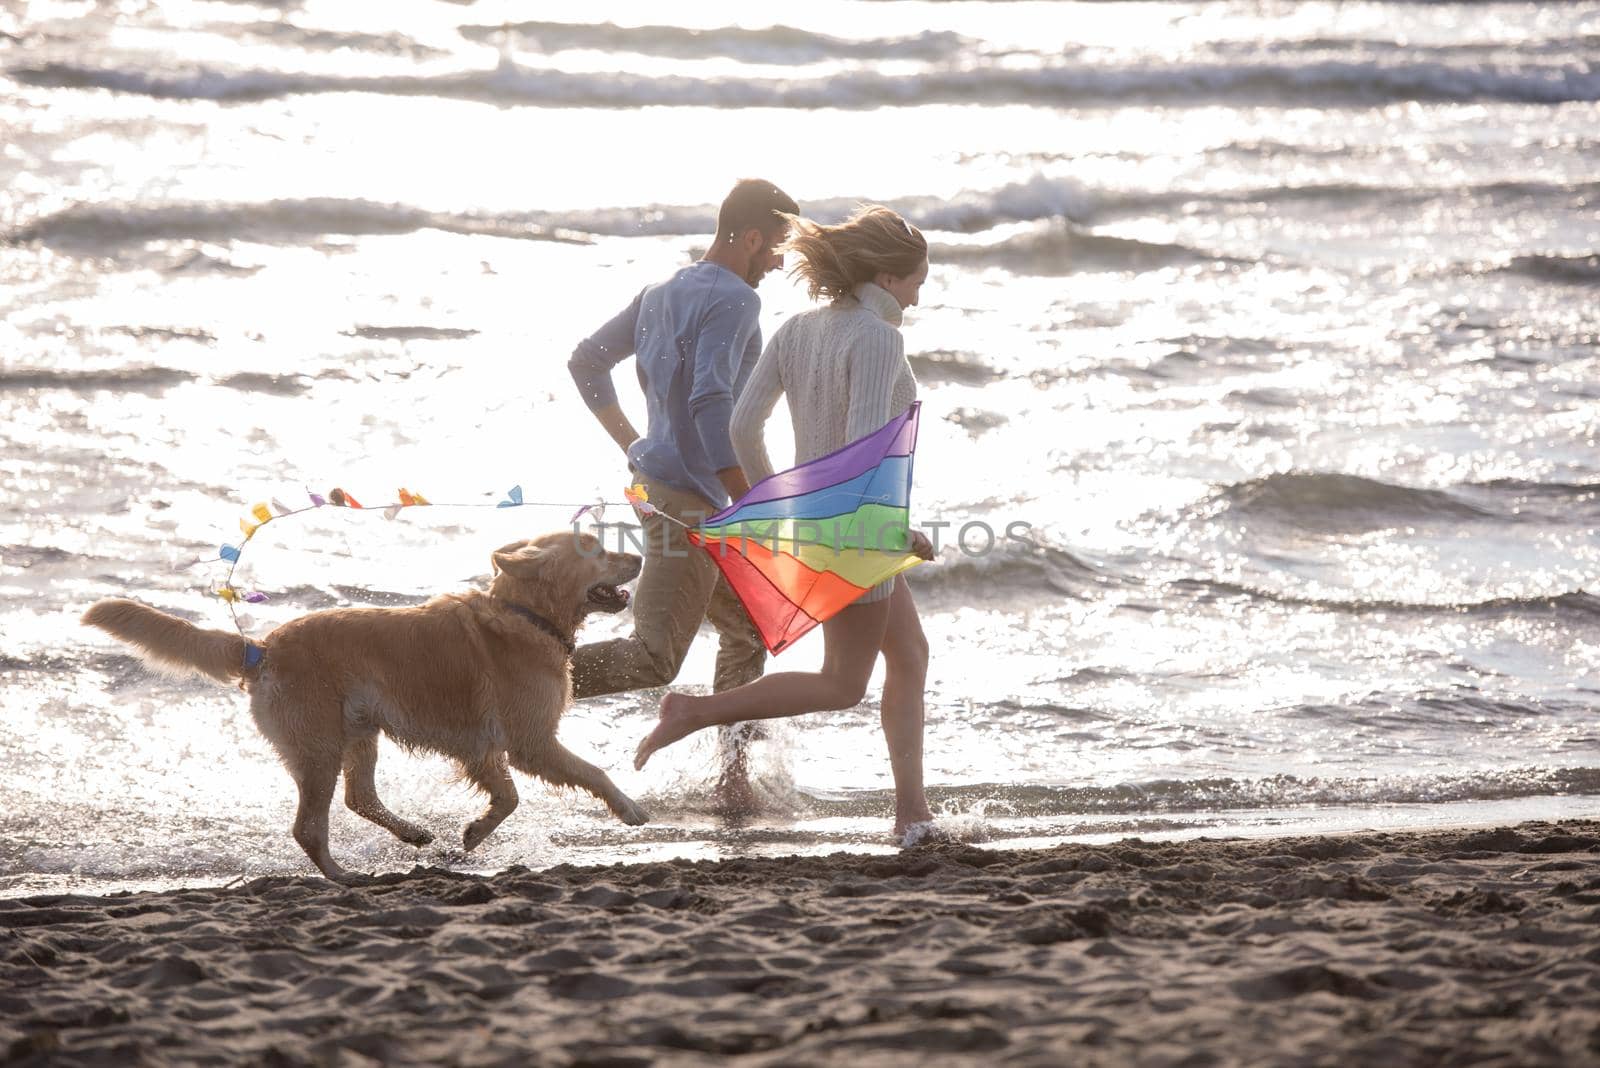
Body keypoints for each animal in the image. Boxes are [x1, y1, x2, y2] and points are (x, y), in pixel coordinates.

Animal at [81, 530, 643, 882]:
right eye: (596, 549)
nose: (640, 556)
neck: (525, 613)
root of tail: (262, 647)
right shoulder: (531, 742)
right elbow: (590, 773)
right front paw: (630, 807)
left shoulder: (482, 750)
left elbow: (507, 799)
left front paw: (472, 834)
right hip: (320, 749)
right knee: (309, 826)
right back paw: (343, 876)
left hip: (360, 734)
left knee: (359, 798)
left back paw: (413, 834)